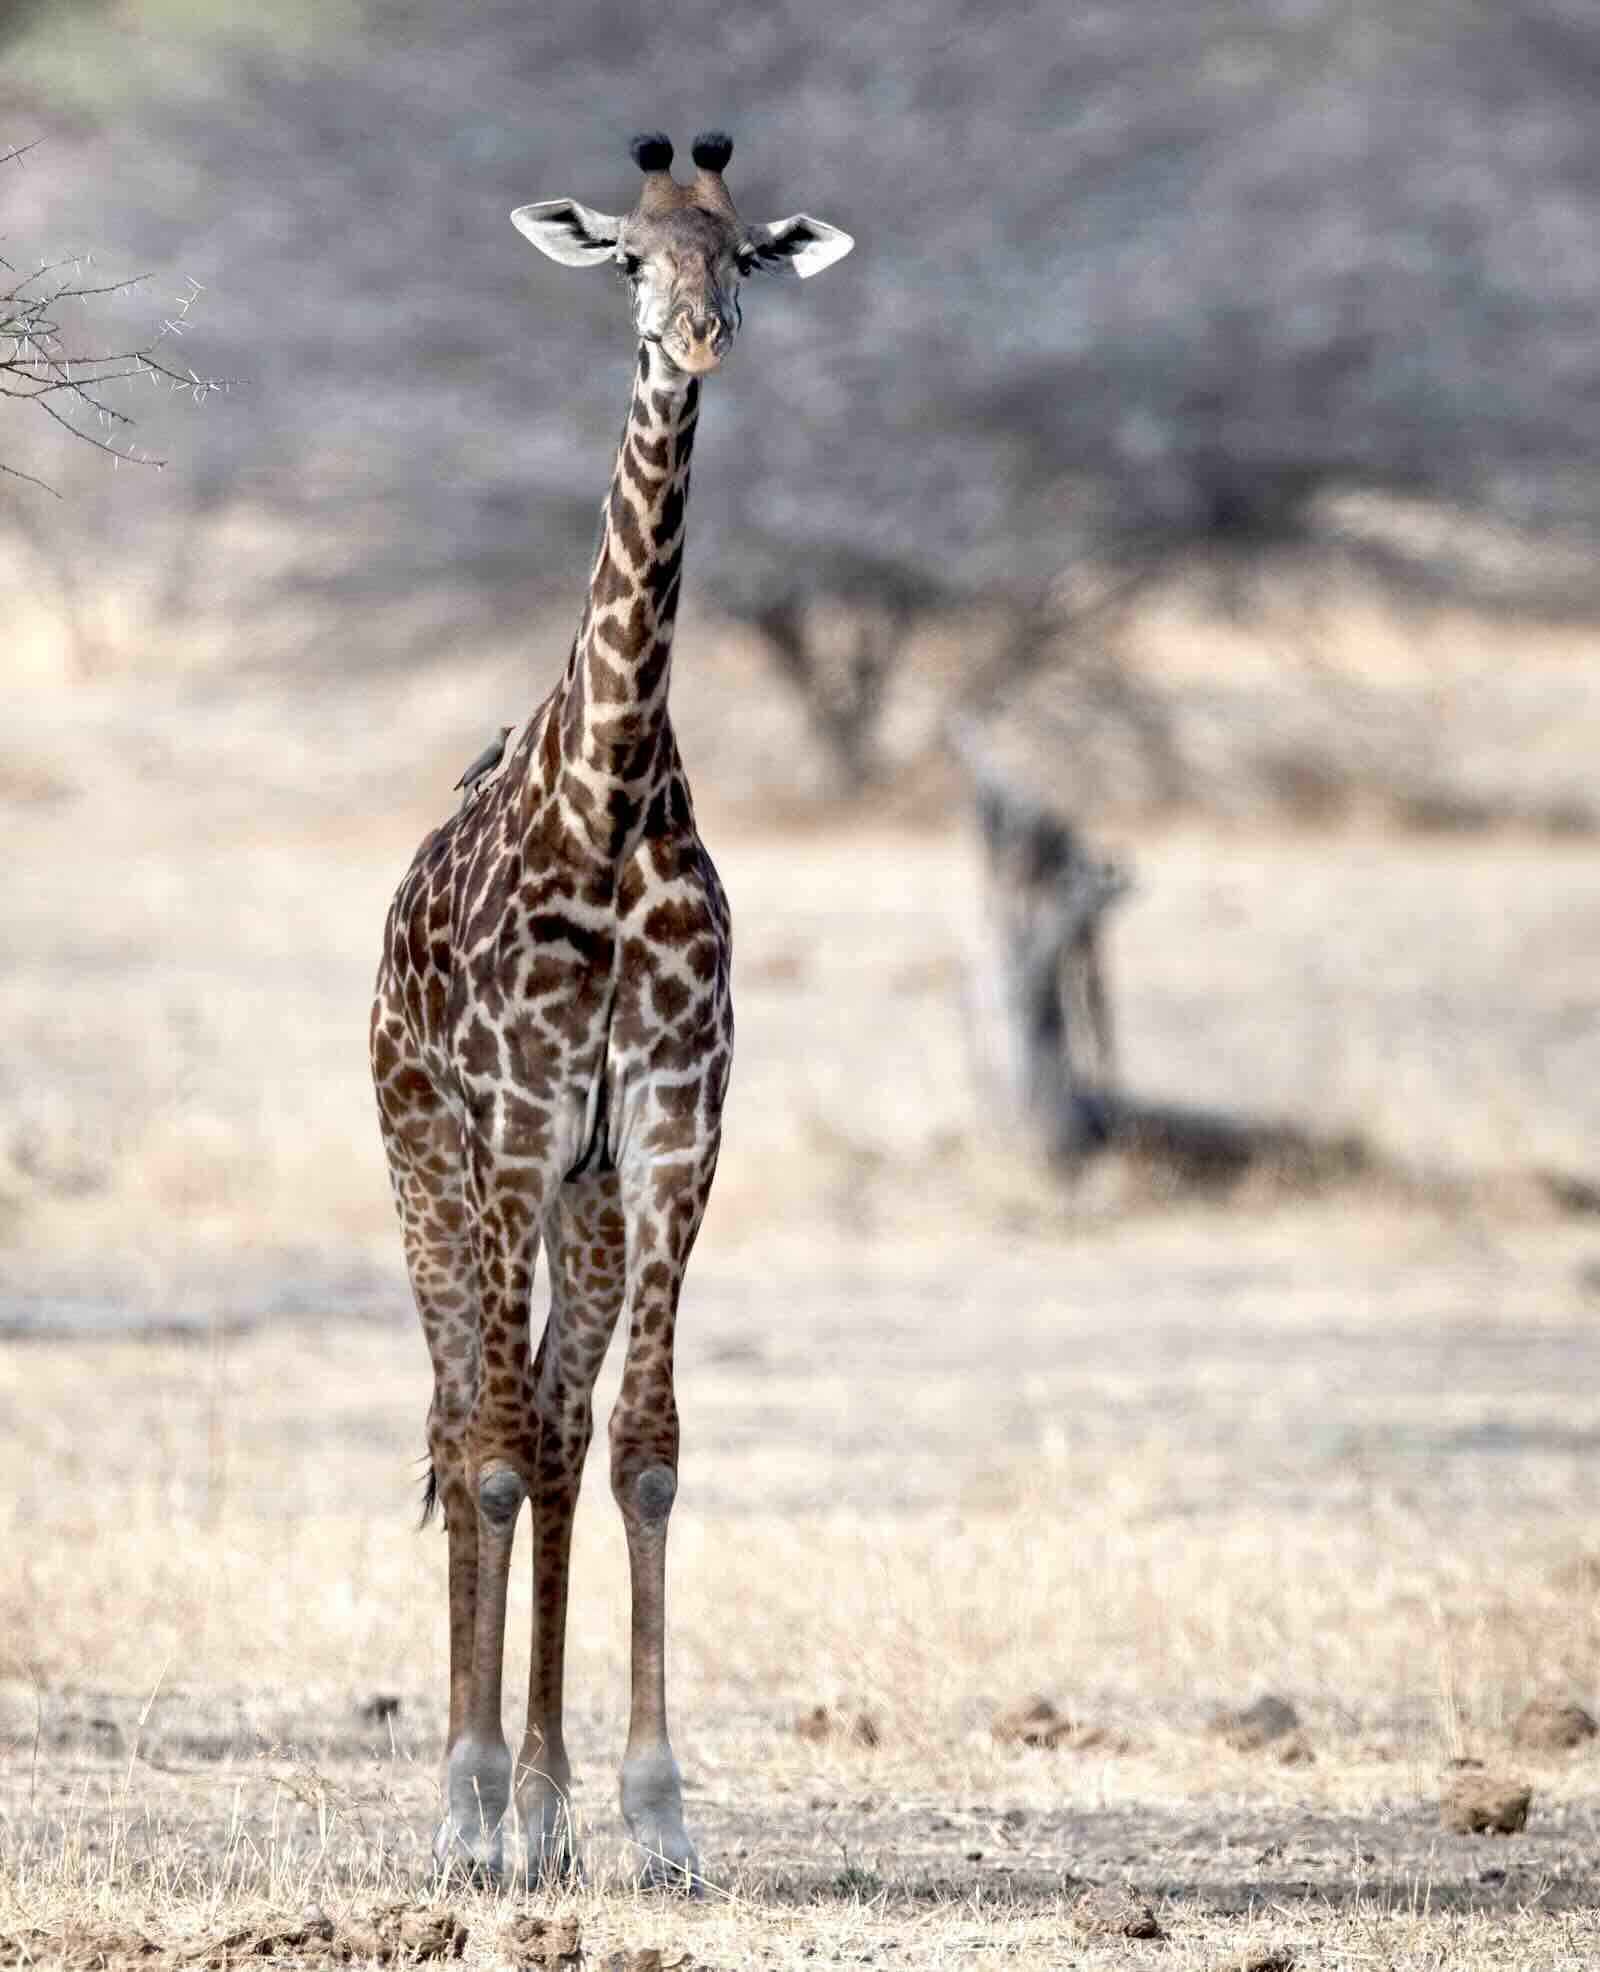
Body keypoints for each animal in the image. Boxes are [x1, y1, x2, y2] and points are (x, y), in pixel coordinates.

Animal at [368, 131, 853, 1889]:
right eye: (632, 261)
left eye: (747, 254)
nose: (698, 339)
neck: (614, 792)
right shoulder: (515, 1127)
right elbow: (498, 1453)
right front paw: (471, 1820)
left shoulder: (664, 1130)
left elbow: (640, 1450)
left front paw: (652, 1821)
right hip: (428, 1161)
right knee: (466, 1421)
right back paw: (474, 1810)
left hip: (572, 1201)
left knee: (560, 1428)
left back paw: (551, 1810)